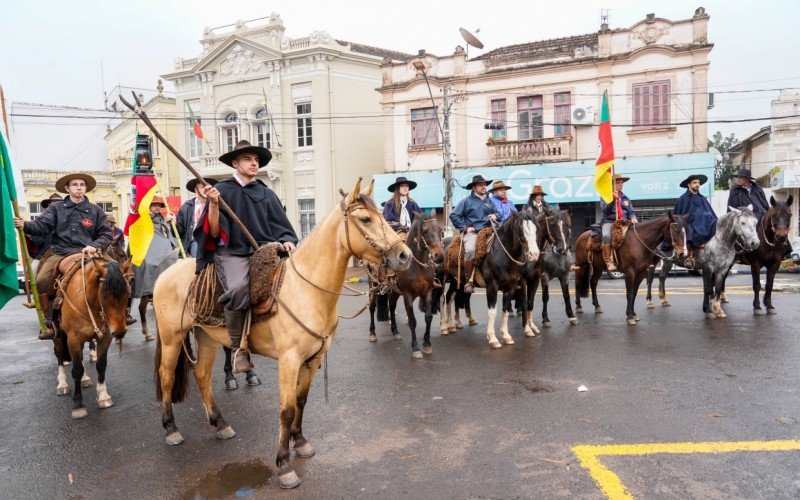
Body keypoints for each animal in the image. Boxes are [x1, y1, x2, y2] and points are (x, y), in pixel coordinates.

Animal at [50, 256, 132, 420]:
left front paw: (103, 396)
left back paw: (85, 379)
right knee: (60, 355)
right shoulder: (73, 339)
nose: (119, 332)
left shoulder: (105, 337)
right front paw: (78, 404)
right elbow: (76, 369)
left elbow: (101, 366)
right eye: (105, 295)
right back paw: (62, 384)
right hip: (59, 335)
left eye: (128, 292)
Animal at [152, 179, 410, 488]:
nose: (405, 255)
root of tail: (165, 273)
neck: (307, 289)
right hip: (172, 337)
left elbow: (301, 400)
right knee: (166, 376)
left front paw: (300, 442)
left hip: (206, 337)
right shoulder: (289, 360)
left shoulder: (313, 358)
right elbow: (286, 409)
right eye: (365, 219)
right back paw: (170, 429)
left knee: (202, 375)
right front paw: (284, 464)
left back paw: (220, 424)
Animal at [372, 213, 446, 358]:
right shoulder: (407, 294)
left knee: (391, 305)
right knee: (372, 308)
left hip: (394, 291)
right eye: (425, 231)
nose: (439, 256)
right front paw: (416, 347)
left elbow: (428, 317)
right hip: (373, 287)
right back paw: (372, 333)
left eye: (440, 230)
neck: (417, 265)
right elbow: (412, 321)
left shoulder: (428, 292)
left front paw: (427, 344)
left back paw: (395, 332)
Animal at [440, 213, 540, 350]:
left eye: (536, 229)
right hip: (441, 280)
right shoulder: (492, 286)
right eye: (521, 230)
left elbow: (505, 310)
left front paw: (506, 336)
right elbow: (492, 312)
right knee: (442, 299)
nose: (534, 254)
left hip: (456, 281)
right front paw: (493, 338)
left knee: (449, 297)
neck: (502, 254)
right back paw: (444, 327)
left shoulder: (511, 287)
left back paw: (450, 326)